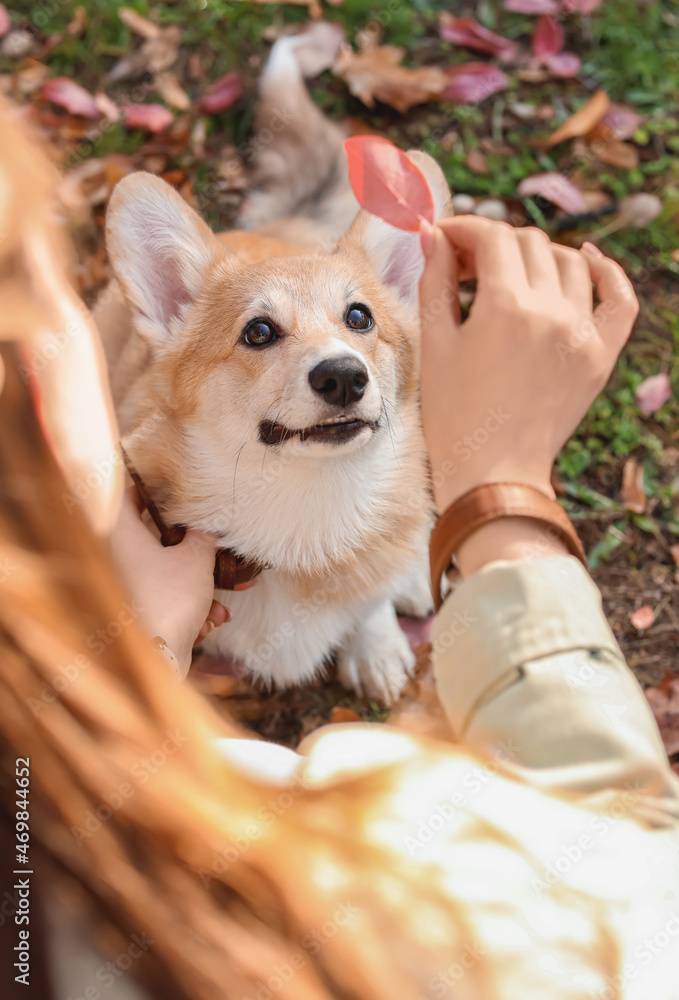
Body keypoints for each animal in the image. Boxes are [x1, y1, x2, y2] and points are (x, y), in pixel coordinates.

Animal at [95, 35, 454, 700]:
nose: (343, 376)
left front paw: (376, 643)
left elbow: (371, 600)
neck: (305, 517)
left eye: (360, 317)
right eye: (258, 332)